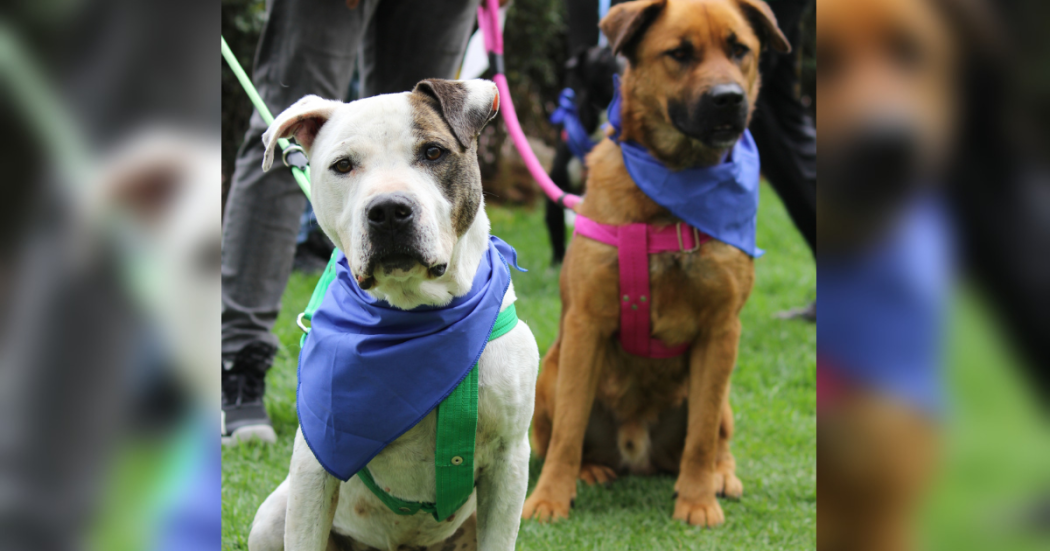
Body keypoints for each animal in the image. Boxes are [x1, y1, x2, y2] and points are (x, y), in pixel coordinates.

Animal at [246, 78, 537, 549]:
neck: (417, 316)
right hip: (273, 514)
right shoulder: (314, 462)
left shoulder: (509, 462)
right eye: (343, 165)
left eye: (433, 152)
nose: (387, 210)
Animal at [525, 0, 789, 526]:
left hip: (724, 392)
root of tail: (637, 454)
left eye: (739, 50)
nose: (728, 99)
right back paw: (591, 469)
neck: (674, 197)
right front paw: (550, 498)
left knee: (715, 438)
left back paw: (720, 477)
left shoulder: (721, 331)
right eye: (679, 53)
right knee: (559, 434)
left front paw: (698, 501)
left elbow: (701, 436)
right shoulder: (585, 325)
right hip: (552, 372)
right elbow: (567, 430)